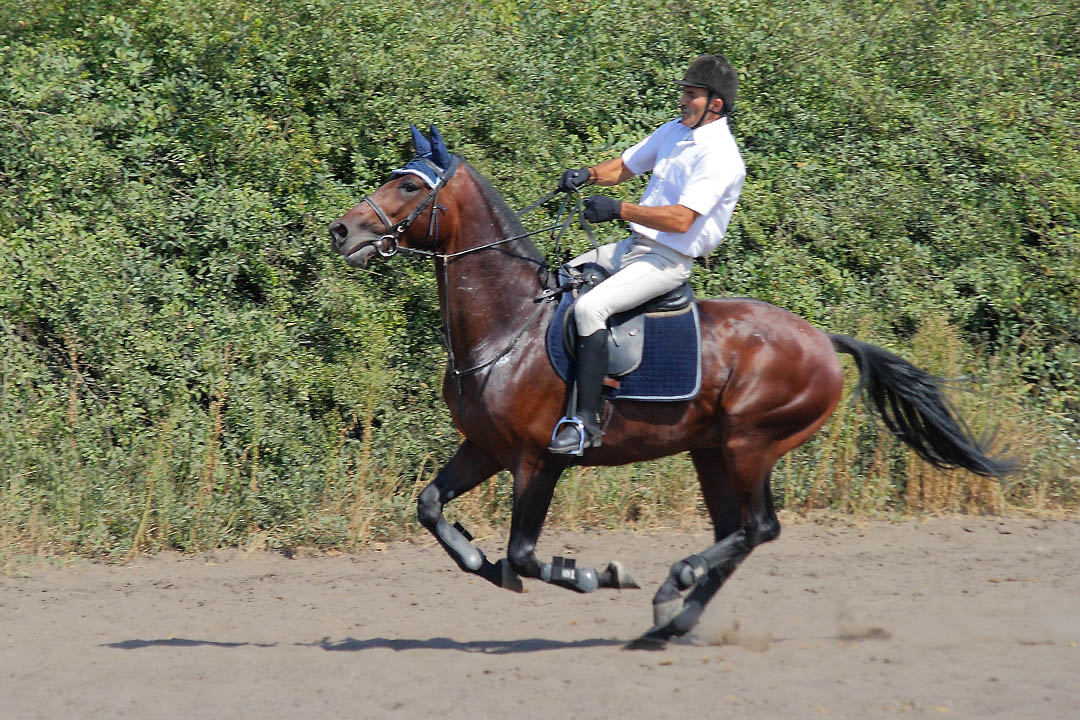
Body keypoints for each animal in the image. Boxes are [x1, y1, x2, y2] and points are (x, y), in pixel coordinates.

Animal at [326, 126, 1010, 651]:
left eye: (410, 186)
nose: (342, 232)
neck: (509, 324)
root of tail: (822, 340)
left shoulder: (538, 459)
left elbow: (522, 553)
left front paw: (595, 575)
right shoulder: (486, 448)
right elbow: (430, 506)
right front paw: (477, 559)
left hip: (750, 444)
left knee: (759, 528)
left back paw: (671, 587)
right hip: (712, 450)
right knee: (737, 530)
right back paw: (669, 620)